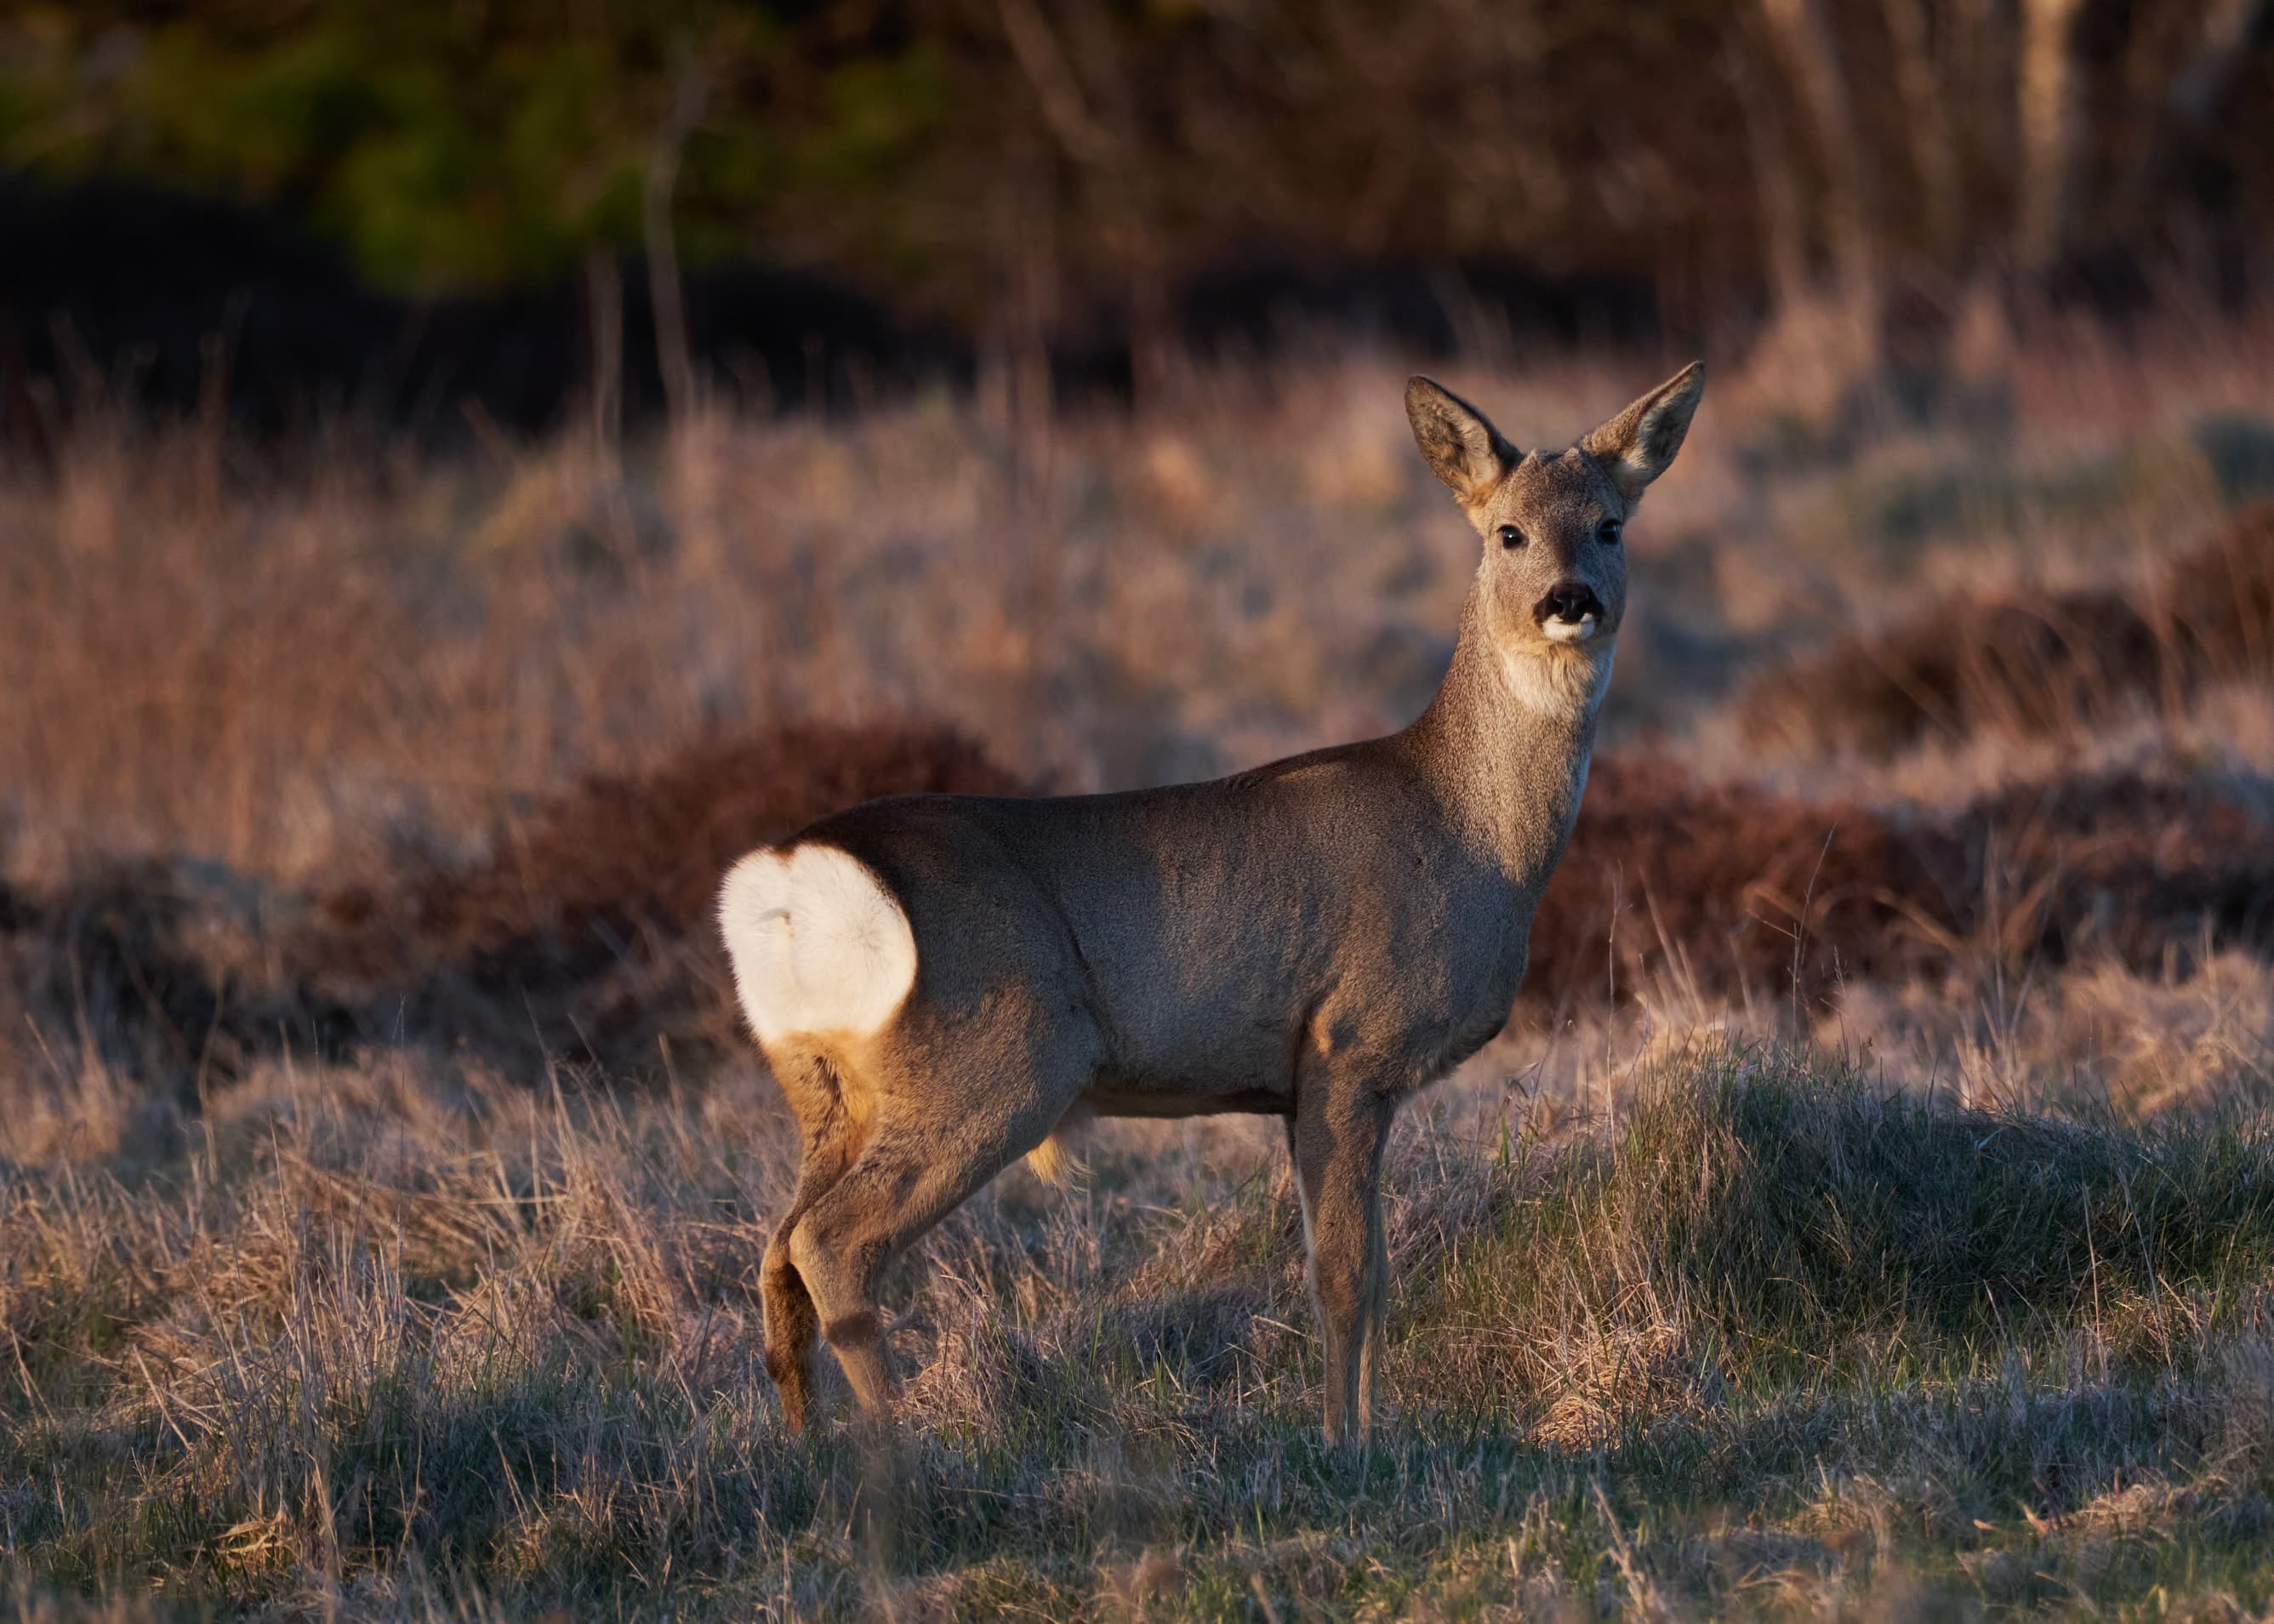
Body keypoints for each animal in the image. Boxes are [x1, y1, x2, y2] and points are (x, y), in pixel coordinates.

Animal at [719, 363, 1706, 1446]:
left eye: (1610, 523)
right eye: (1509, 532)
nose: (1571, 601)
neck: (1469, 835)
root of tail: (786, 874)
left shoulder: (1315, 1080)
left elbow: (1376, 1273)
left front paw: (1366, 1431)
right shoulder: (1348, 1043)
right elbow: (1344, 1275)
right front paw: (1346, 1446)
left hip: (828, 1087)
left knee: (776, 1252)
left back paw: (811, 1456)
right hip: (996, 1060)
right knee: (833, 1244)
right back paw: (897, 1458)